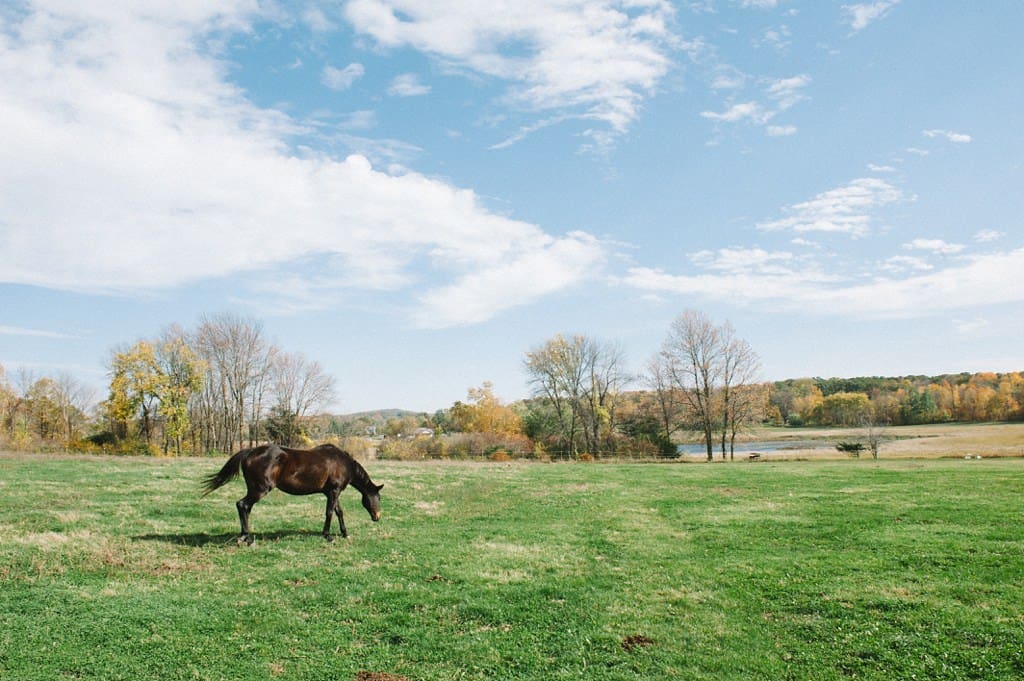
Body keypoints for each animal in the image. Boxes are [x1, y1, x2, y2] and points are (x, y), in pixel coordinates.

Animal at [201, 443, 383, 545]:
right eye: (377, 498)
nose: (377, 517)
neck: (343, 463)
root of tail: (250, 452)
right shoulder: (334, 491)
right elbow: (330, 513)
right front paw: (328, 536)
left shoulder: (331, 492)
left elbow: (339, 512)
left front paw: (345, 534)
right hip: (260, 490)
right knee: (243, 505)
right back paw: (247, 538)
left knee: (244, 507)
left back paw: (244, 536)